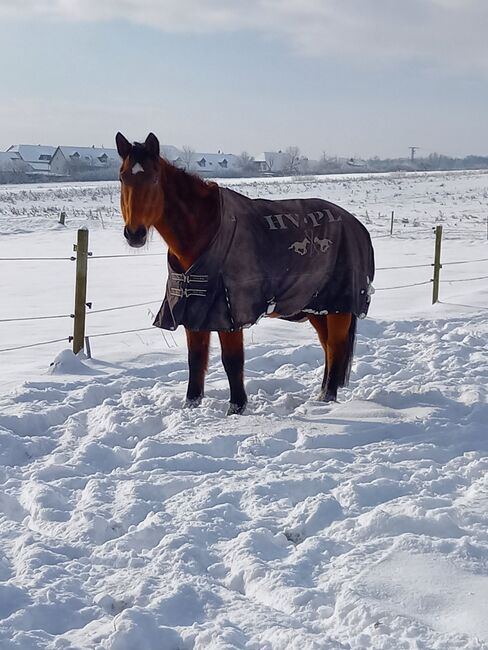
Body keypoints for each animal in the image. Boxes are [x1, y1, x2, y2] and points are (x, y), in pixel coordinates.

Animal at [114, 132, 374, 416]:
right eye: (123, 177)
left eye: (154, 178)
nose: (134, 234)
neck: (204, 231)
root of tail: (356, 225)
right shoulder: (195, 311)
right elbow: (196, 360)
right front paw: (192, 404)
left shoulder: (230, 315)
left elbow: (232, 361)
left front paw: (237, 408)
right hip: (317, 307)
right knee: (327, 346)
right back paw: (322, 395)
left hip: (339, 306)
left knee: (335, 347)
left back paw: (327, 399)